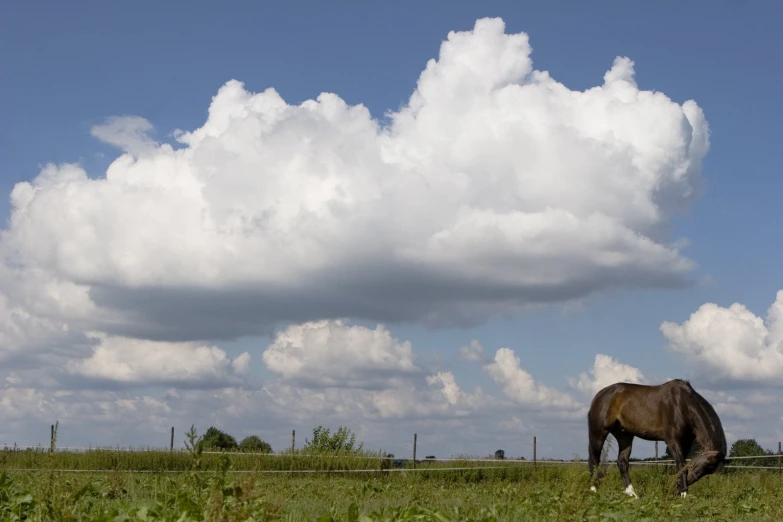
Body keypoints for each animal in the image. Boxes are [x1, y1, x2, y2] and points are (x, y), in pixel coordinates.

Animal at [588, 378, 728, 496]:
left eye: (708, 470)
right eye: (703, 465)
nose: (690, 480)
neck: (682, 404)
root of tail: (599, 395)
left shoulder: (685, 442)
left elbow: (680, 465)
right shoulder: (672, 440)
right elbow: (681, 464)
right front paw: (683, 494)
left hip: (624, 436)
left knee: (622, 462)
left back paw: (633, 495)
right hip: (599, 433)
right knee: (595, 460)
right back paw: (593, 491)